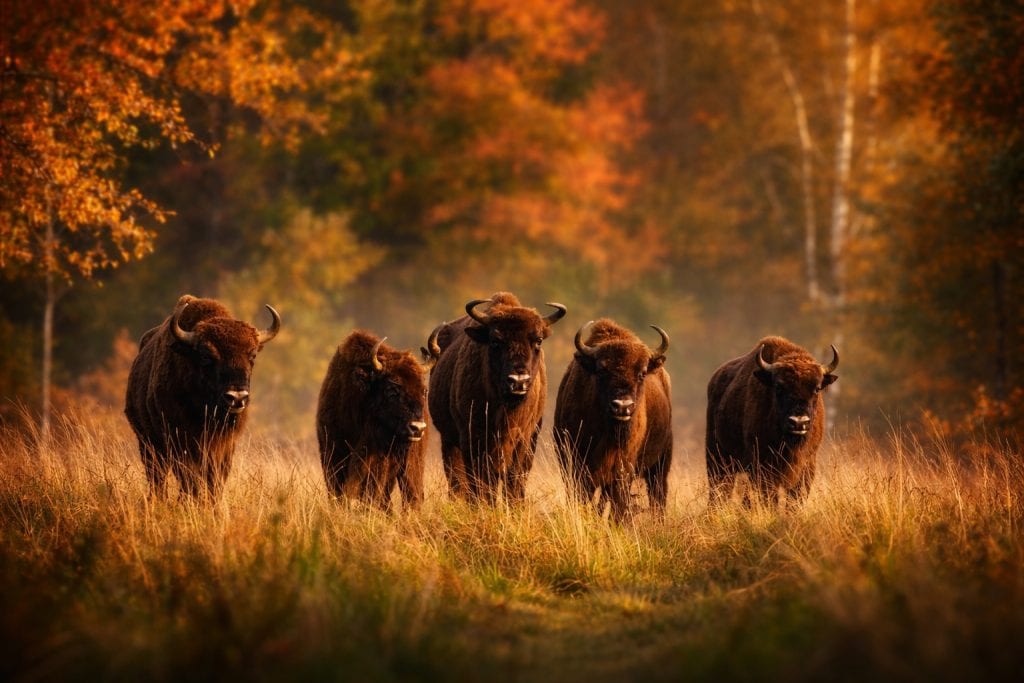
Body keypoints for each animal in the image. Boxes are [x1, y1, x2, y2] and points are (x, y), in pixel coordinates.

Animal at [124, 294, 280, 499]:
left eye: (252, 355)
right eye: (206, 356)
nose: (237, 397)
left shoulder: (225, 446)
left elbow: (215, 479)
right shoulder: (180, 442)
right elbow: (189, 477)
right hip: (147, 442)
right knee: (157, 477)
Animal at [427, 292, 566, 502]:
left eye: (538, 340)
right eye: (495, 341)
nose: (518, 381)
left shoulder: (525, 439)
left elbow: (513, 481)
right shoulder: (473, 439)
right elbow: (483, 482)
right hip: (449, 440)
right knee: (458, 480)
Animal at [554, 319, 673, 519]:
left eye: (642, 374)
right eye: (602, 371)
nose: (622, 406)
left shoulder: (623, 470)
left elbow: (619, 503)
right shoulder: (574, 464)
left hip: (660, 464)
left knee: (657, 495)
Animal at [705, 335, 838, 507]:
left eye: (816, 388)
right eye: (779, 387)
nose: (798, 422)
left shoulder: (808, 464)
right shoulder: (762, 466)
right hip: (717, 457)